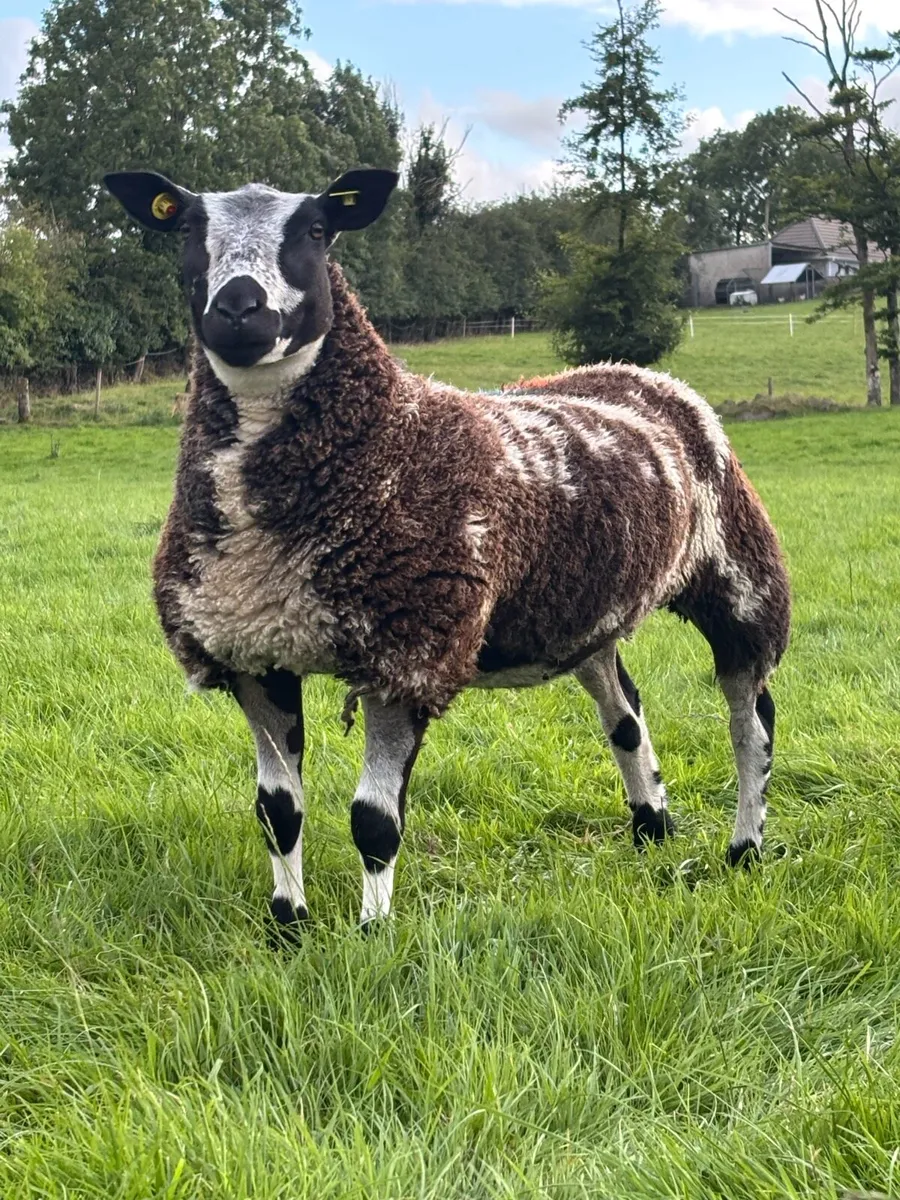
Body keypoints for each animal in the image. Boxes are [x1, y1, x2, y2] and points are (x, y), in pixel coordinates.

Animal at [104, 166, 791, 934]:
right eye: (186, 229)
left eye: (316, 229)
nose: (238, 310)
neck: (386, 434)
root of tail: (639, 374)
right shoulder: (252, 654)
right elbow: (278, 811)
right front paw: (288, 926)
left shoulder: (409, 654)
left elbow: (374, 821)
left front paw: (372, 935)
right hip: (586, 611)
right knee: (626, 716)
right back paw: (651, 829)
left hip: (741, 578)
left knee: (751, 723)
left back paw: (745, 849)